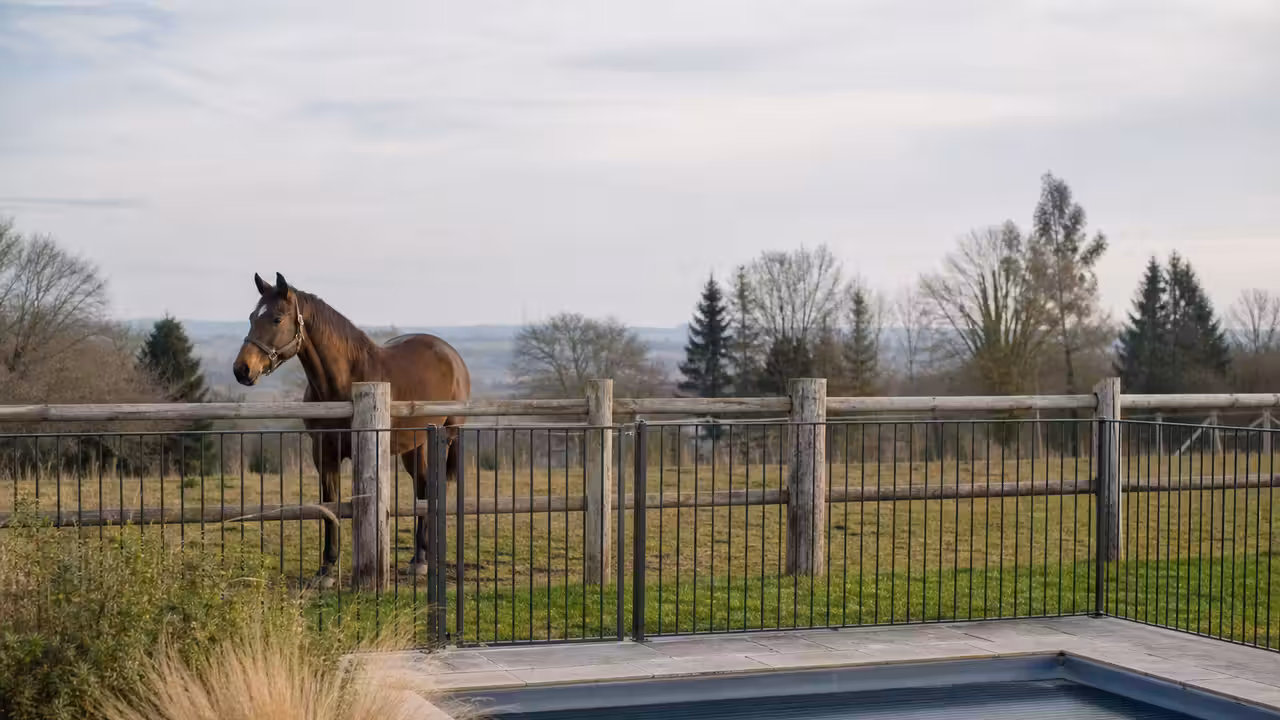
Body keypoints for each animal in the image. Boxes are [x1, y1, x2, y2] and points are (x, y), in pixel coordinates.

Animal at [233, 272, 469, 586]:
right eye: (251, 317)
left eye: (277, 318)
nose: (242, 369)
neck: (344, 381)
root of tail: (451, 354)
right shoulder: (324, 453)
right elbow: (329, 505)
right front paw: (326, 569)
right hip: (415, 445)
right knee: (421, 488)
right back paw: (419, 558)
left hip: (445, 438)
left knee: (431, 488)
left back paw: (423, 560)